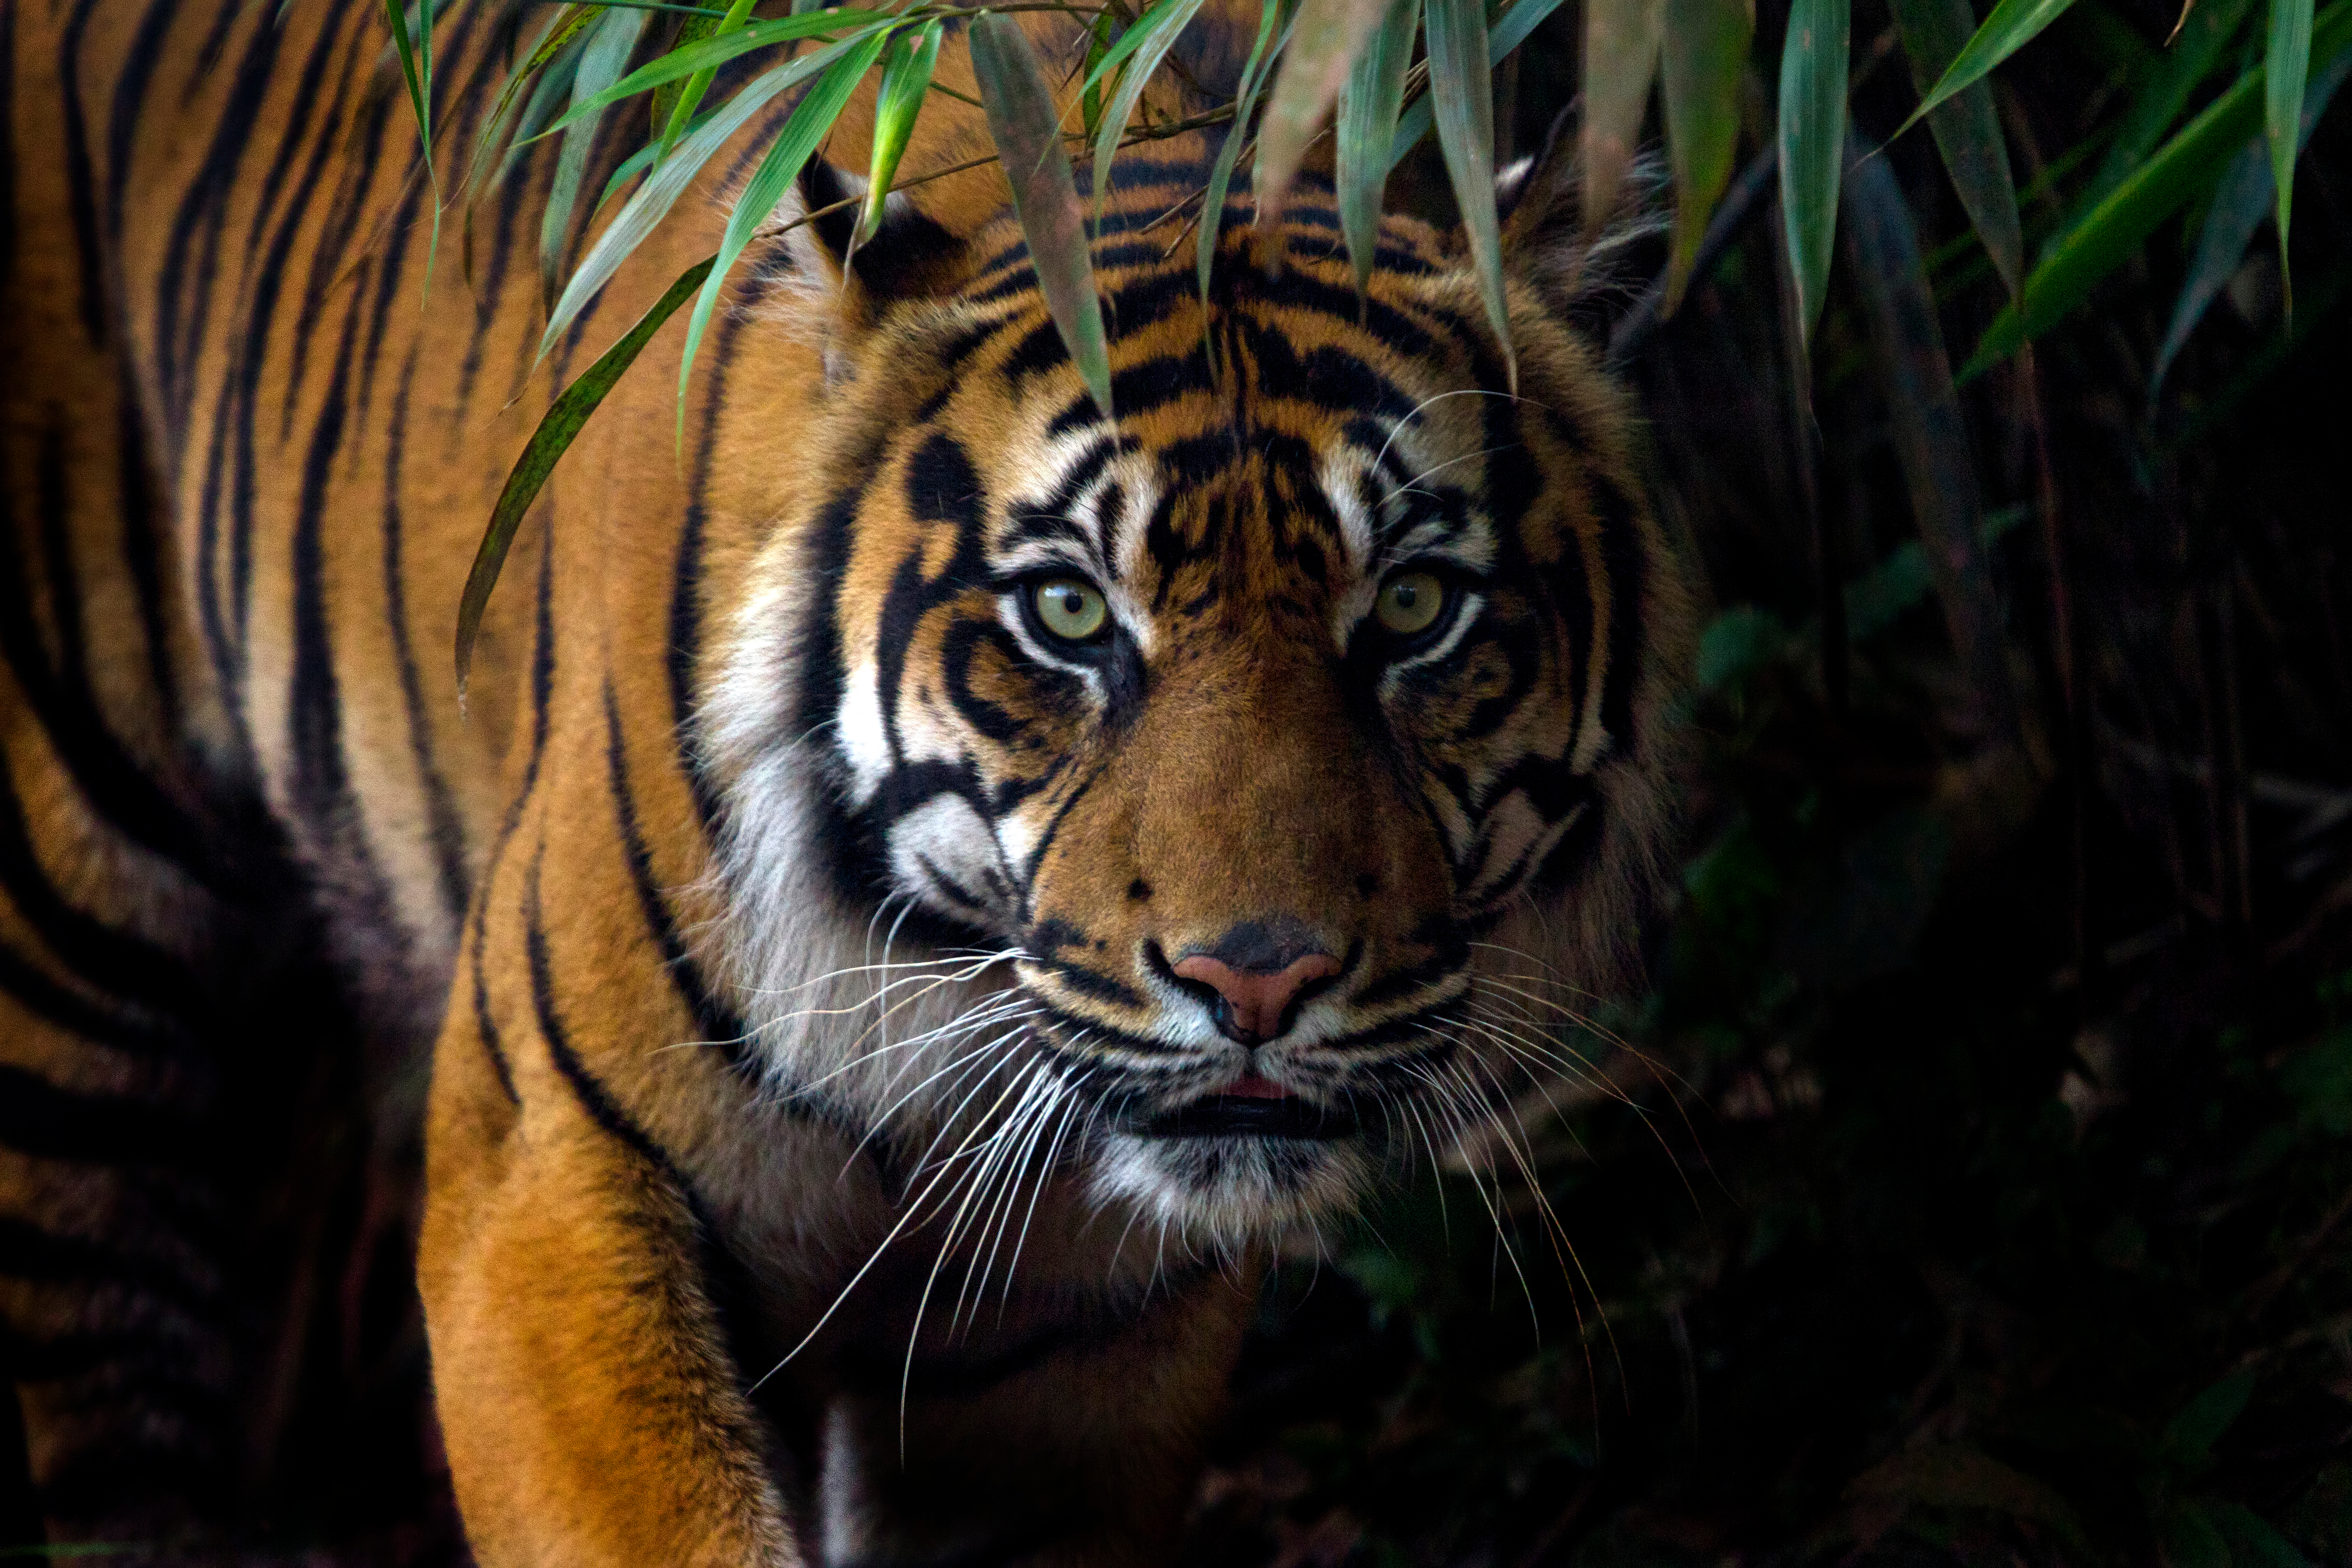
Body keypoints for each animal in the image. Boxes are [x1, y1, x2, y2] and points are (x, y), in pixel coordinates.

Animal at [4, 0, 1693, 1561]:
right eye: (1067, 612)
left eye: (1411, 608)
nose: (1258, 981)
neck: (943, 1004)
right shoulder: (542, 1170)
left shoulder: (1064, 1345)